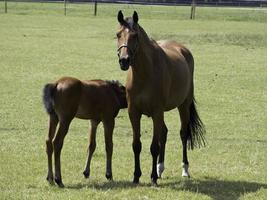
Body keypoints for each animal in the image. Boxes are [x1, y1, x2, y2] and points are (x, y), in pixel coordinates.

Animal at [116, 10, 206, 185]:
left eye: (135, 35)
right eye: (118, 34)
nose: (124, 60)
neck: (145, 74)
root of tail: (183, 49)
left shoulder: (157, 112)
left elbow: (154, 147)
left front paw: (152, 178)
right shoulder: (134, 113)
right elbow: (136, 145)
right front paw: (136, 176)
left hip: (183, 106)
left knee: (183, 134)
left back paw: (184, 169)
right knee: (164, 133)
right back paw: (160, 168)